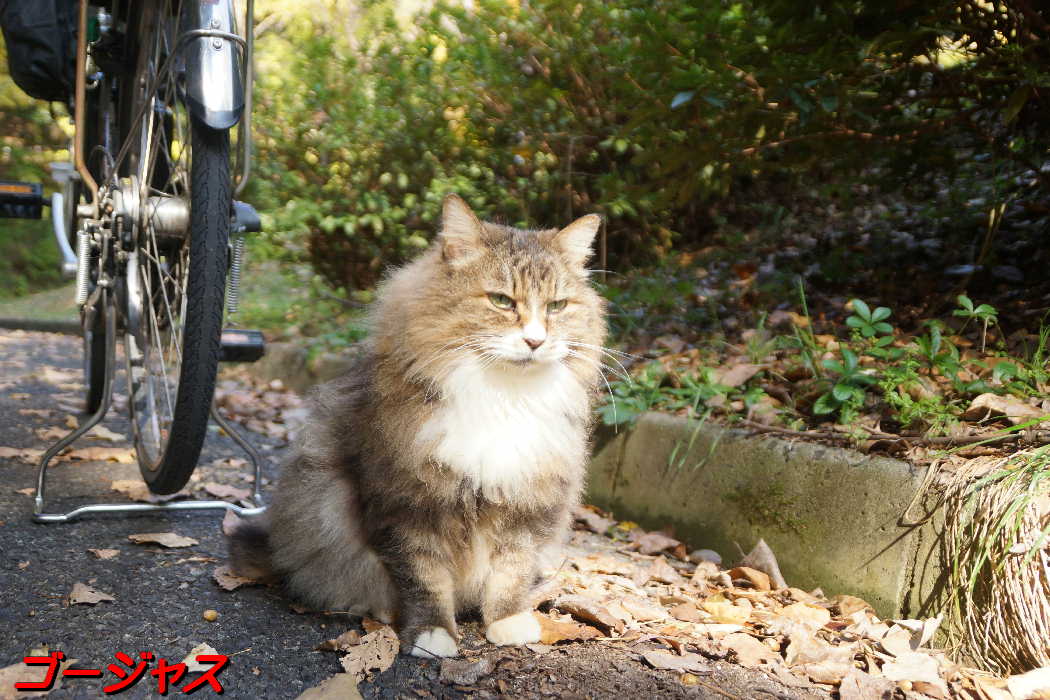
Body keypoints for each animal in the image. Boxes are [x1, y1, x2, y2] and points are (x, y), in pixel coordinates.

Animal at [229, 194, 609, 659]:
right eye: (502, 301)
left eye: (557, 307)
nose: (536, 341)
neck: (501, 395)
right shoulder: (406, 505)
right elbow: (424, 579)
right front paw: (433, 635)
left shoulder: (524, 505)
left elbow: (511, 573)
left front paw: (507, 623)